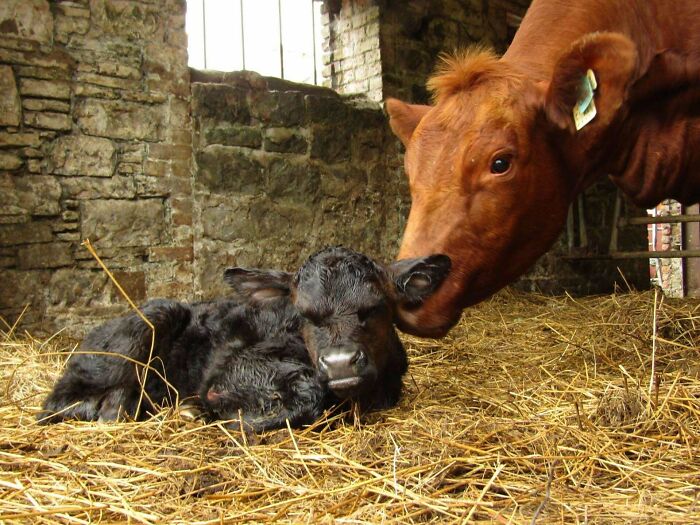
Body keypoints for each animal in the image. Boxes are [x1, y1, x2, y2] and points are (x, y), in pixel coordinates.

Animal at [39, 246, 451, 432]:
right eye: (303, 313)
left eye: (377, 307)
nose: (339, 362)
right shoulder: (226, 375)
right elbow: (306, 396)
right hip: (151, 316)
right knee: (60, 404)